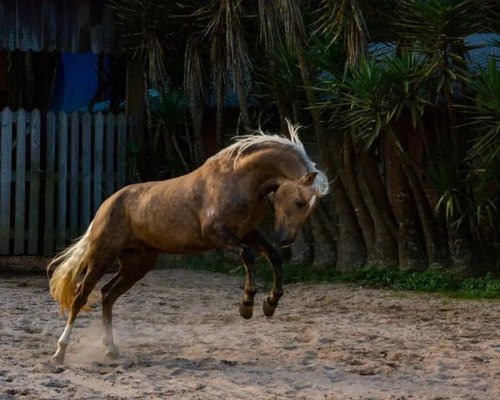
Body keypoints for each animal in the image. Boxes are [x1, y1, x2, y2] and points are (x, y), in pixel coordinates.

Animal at [47, 120, 328, 364]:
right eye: (299, 202)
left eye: (310, 208)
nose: (285, 239)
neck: (238, 179)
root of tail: (106, 205)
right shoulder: (218, 234)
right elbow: (248, 256)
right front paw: (247, 305)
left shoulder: (248, 232)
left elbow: (273, 257)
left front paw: (270, 304)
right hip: (101, 256)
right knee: (81, 296)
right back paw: (59, 352)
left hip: (137, 263)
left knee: (107, 295)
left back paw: (111, 348)